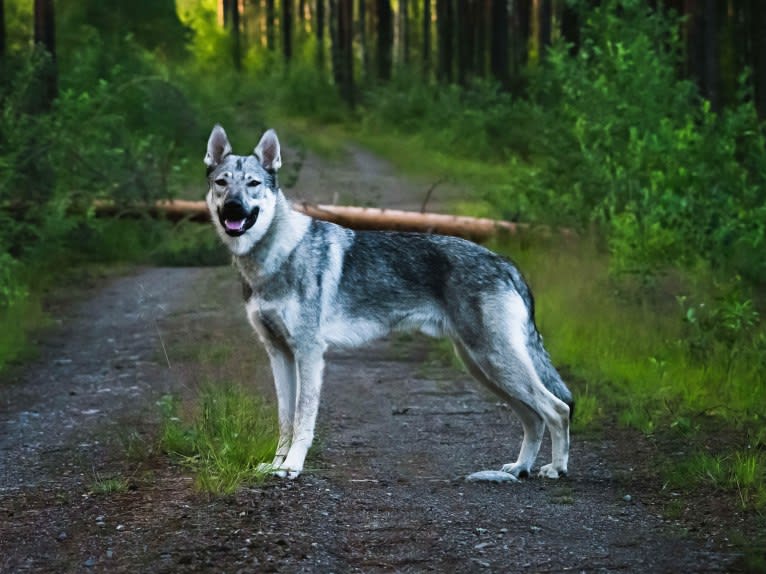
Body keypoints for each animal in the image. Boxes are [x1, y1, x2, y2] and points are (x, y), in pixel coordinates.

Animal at [204, 125, 576, 482]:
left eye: (253, 184)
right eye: (223, 183)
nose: (233, 208)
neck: (276, 254)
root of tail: (505, 262)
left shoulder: (309, 352)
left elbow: (303, 418)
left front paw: (293, 466)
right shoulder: (278, 353)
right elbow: (285, 419)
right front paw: (275, 464)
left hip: (495, 362)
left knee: (557, 409)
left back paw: (555, 469)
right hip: (482, 366)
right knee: (534, 418)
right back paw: (520, 467)